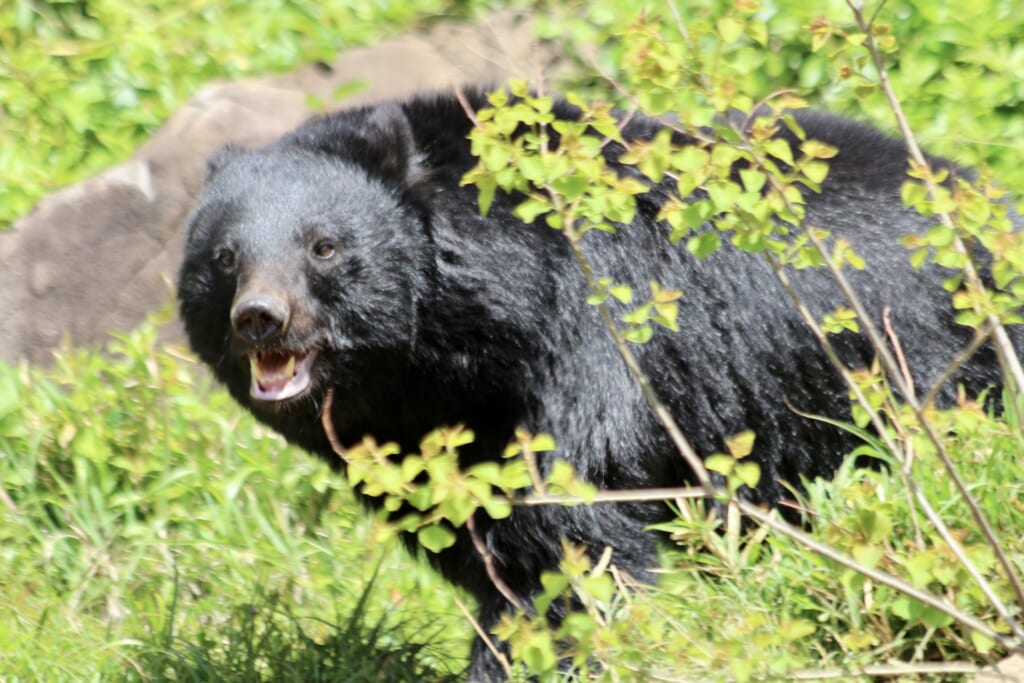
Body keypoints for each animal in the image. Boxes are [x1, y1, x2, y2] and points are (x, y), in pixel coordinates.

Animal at [178, 89, 1015, 679]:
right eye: (224, 257)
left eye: (322, 246)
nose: (260, 319)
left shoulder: (590, 340)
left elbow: (571, 538)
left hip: (928, 356)